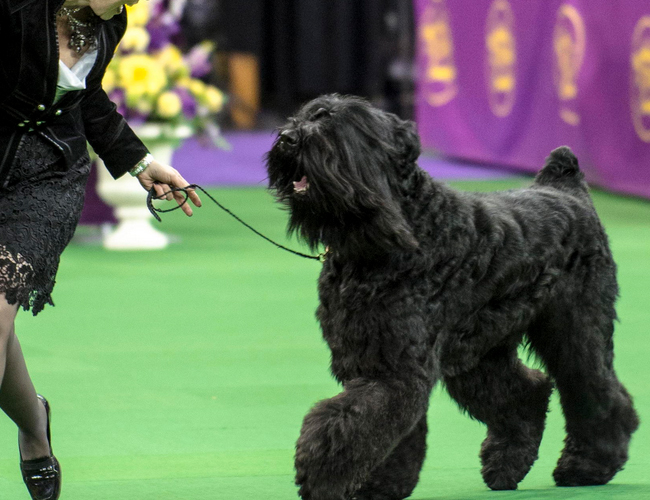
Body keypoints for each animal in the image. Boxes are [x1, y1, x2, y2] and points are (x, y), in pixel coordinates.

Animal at [264, 94, 636, 500]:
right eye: (302, 115)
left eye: (331, 122)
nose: (287, 139)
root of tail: (568, 190)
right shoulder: (374, 359)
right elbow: (390, 434)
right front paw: (381, 486)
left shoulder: (395, 370)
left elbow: (346, 425)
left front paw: (321, 478)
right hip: (480, 352)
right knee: (526, 392)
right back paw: (507, 464)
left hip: (576, 329)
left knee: (596, 390)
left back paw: (588, 466)